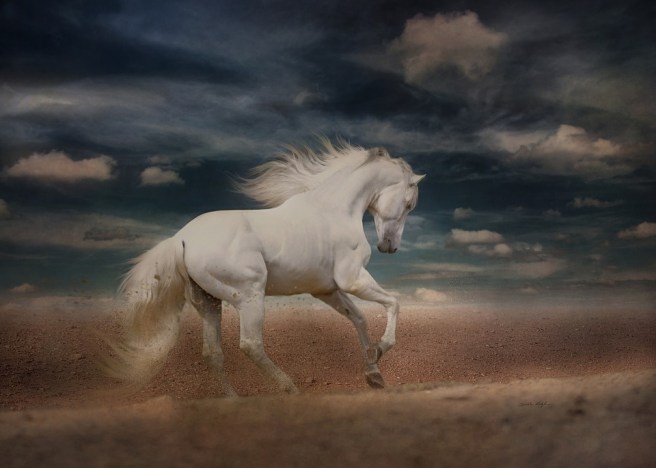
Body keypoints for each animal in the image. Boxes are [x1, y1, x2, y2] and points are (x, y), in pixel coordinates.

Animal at [103, 141, 425, 395]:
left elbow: (359, 318)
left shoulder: (326, 290)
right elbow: (393, 303)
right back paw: (290, 388)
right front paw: (381, 349)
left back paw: (234, 401)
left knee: (213, 353)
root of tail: (181, 238)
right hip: (249, 296)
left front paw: (373, 373)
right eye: (409, 204)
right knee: (251, 345)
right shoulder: (352, 279)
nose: (389, 246)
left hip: (208, 303)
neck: (335, 210)